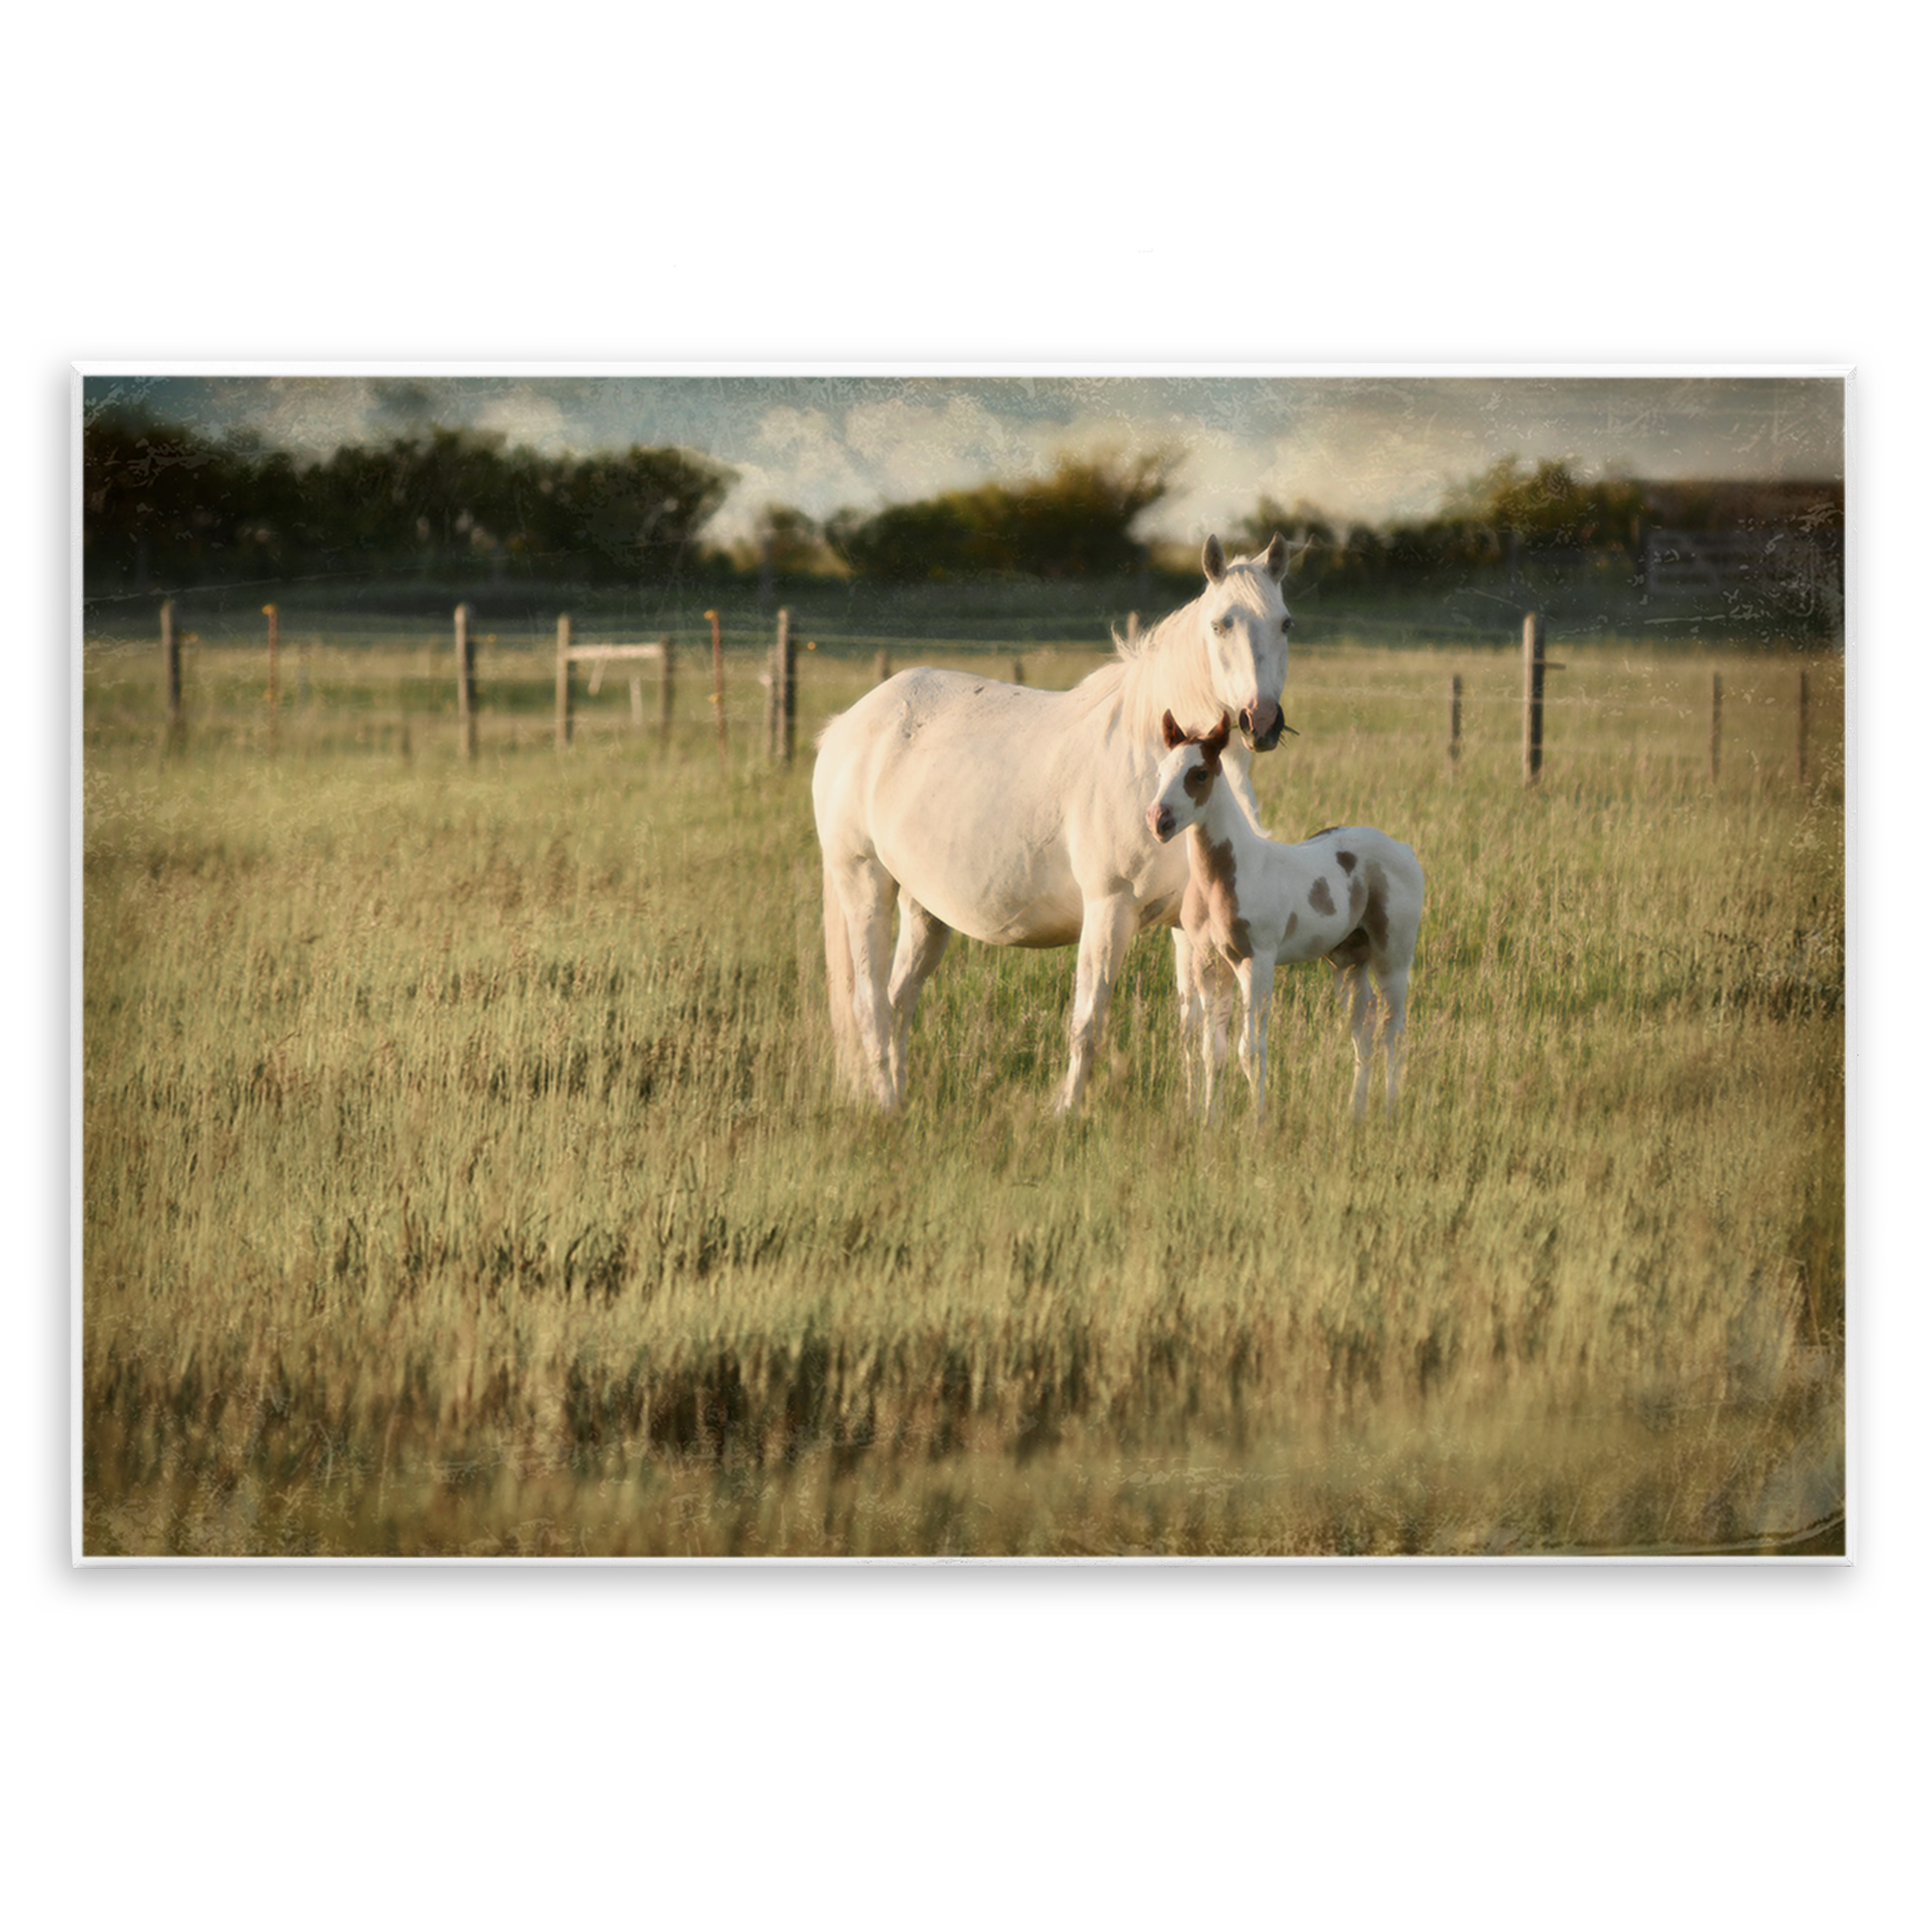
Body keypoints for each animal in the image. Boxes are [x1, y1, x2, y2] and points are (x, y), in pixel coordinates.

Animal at [813, 534, 1295, 1114]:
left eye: (1285, 623)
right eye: (1221, 623)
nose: (1260, 721)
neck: (1148, 762)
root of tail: (846, 725)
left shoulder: (1187, 924)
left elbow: (1196, 1028)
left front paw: (1195, 1113)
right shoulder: (1108, 909)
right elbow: (1088, 1022)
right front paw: (1066, 1112)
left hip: (924, 910)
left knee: (898, 1001)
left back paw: (901, 1097)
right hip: (864, 885)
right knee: (870, 1005)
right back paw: (887, 1105)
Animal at [1145, 709, 1423, 1123]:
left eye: (1200, 774)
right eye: (1162, 770)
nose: (1157, 820)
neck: (1224, 878)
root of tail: (1404, 849)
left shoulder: (1256, 961)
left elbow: (1250, 1049)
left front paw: (1257, 1122)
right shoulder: (1209, 964)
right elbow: (1213, 1050)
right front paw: (1210, 1120)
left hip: (1393, 957)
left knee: (1393, 1029)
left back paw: (1389, 1110)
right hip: (1348, 961)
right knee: (1364, 1026)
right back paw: (1355, 1112)